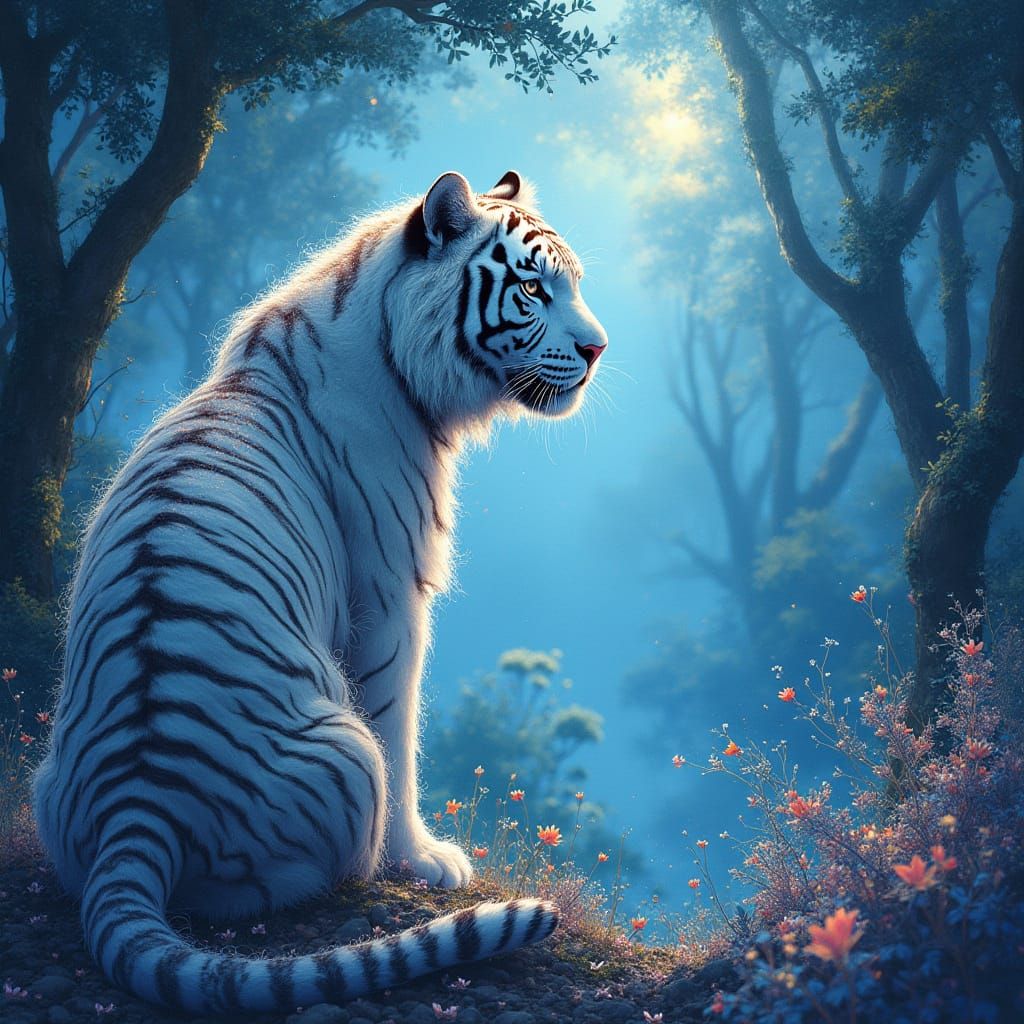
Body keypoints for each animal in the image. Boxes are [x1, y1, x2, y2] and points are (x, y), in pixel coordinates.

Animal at [32, 169, 608, 1014]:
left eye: (574, 284)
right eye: (533, 289)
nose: (599, 349)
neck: (388, 342)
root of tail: (137, 812)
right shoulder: (390, 590)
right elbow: (400, 727)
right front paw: (422, 860)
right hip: (345, 752)